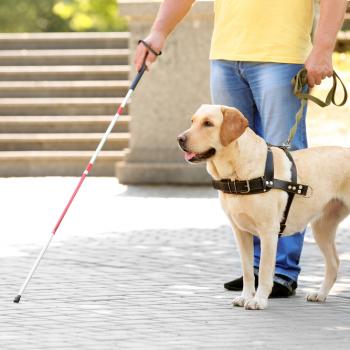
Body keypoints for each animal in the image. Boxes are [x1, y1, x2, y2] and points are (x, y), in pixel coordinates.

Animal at [178, 104, 350, 308]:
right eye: (192, 121)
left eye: (208, 124)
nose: (180, 139)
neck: (237, 174)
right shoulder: (240, 231)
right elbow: (247, 270)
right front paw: (245, 296)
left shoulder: (269, 232)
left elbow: (265, 270)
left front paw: (258, 300)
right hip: (322, 228)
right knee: (334, 263)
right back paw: (320, 294)